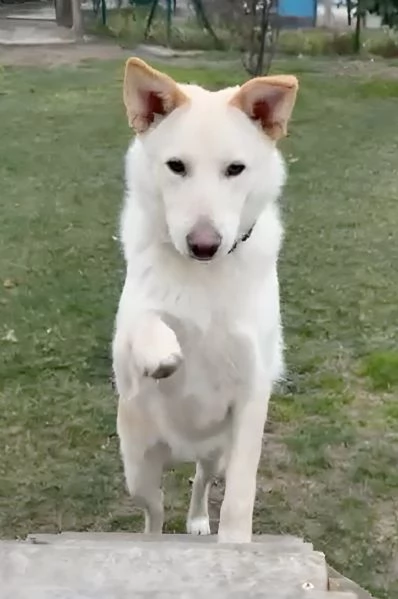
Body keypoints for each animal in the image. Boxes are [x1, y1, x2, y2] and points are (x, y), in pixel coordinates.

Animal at [111, 59, 296, 544]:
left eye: (235, 169)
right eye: (176, 166)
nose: (204, 245)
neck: (205, 277)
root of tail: (180, 446)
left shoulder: (252, 393)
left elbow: (240, 496)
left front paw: (233, 542)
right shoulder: (123, 354)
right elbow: (144, 320)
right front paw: (162, 351)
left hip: (215, 452)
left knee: (201, 482)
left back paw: (197, 523)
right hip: (138, 468)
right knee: (154, 510)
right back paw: (153, 540)